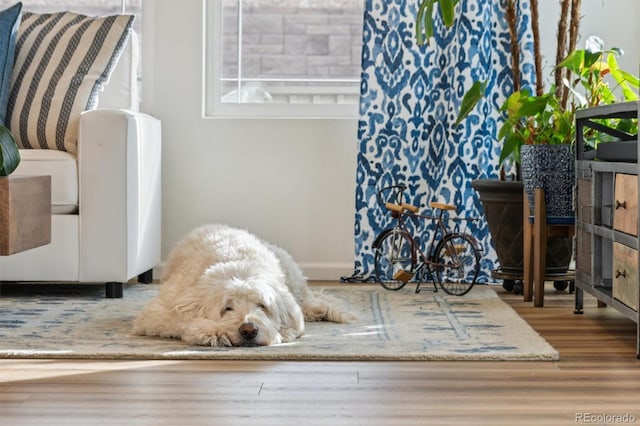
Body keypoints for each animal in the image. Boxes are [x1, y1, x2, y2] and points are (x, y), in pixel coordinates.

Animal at [132, 223, 352, 346]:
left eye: (262, 306)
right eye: (227, 308)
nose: (248, 331)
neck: (239, 267)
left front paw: (284, 331)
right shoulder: (160, 310)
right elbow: (180, 321)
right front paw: (212, 332)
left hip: (289, 270)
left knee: (307, 300)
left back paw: (318, 310)